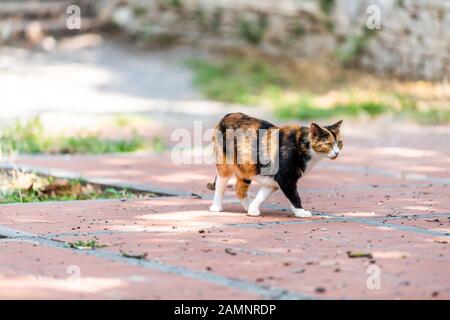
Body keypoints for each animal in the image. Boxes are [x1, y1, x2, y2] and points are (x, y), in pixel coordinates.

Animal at [208, 112, 344, 218]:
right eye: (328, 144)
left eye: (339, 143)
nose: (337, 152)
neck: (303, 145)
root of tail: (227, 115)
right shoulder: (285, 177)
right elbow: (294, 196)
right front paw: (301, 212)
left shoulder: (273, 179)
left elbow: (262, 195)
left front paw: (253, 209)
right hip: (225, 164)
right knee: (221, 183)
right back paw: (216, 206)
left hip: (247, 166)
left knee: (240, 189)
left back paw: (248, 206)